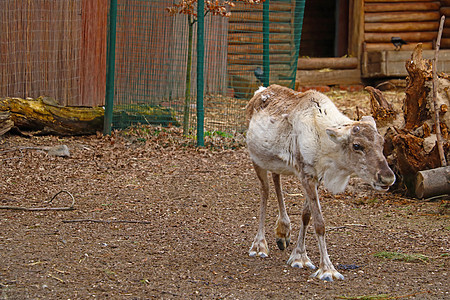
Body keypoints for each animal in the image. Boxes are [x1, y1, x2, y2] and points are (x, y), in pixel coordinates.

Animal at [244, 84, 396, 282]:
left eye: (382, 142)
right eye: (357, 145)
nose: (387, 178)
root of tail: (259, 91)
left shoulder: (316, 177)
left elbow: (306, 215)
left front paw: (299, 256)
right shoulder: (306, 175)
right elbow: (319, 223)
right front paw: (327, 269)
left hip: (275, 160)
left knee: (276, 179)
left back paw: (283, 231)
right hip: (256, 158)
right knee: (265, 190)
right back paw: (259, 245)